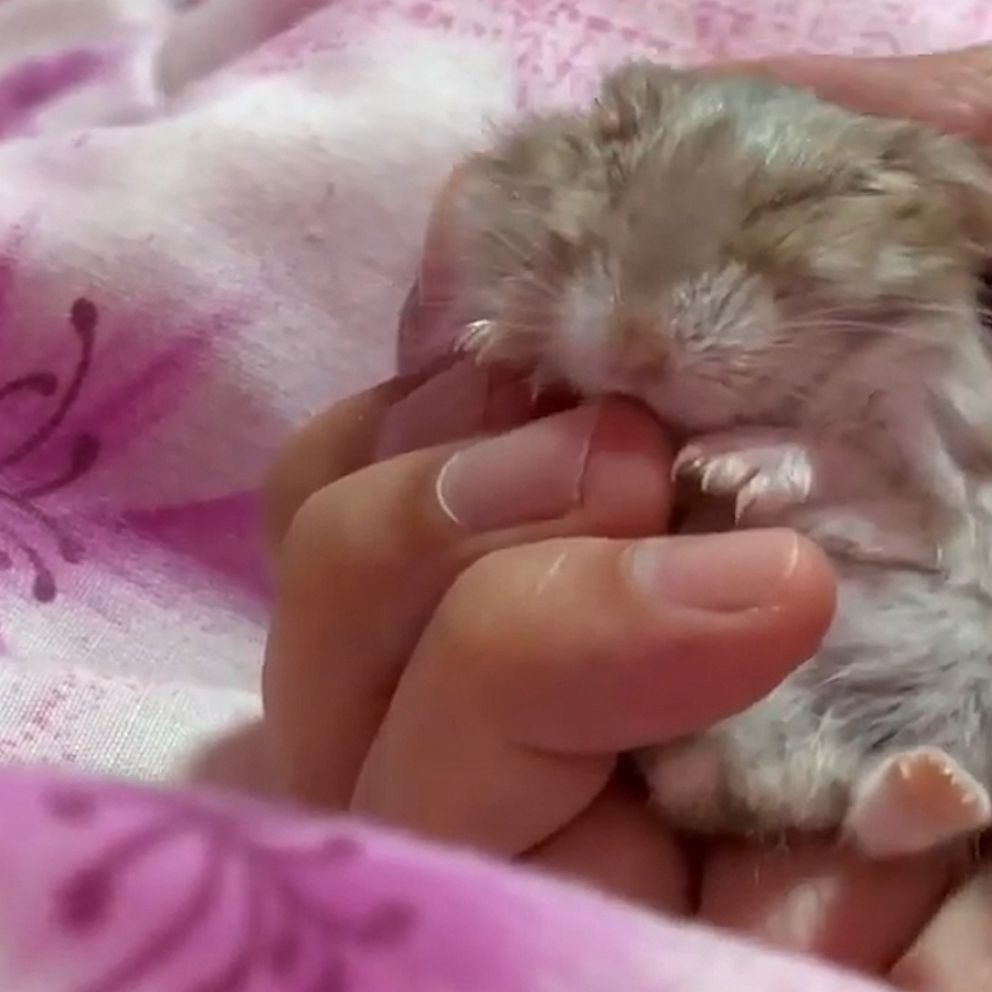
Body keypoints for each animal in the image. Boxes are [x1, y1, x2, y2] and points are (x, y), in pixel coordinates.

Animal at [452, 56, 992, 860]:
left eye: (793, 203)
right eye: (612, 168)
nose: (636, 347)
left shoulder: (943, 467)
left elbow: (871, 475)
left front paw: (723, 467)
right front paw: (493, 339)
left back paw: (938, 784)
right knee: (844, 805)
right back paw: (920, 783)